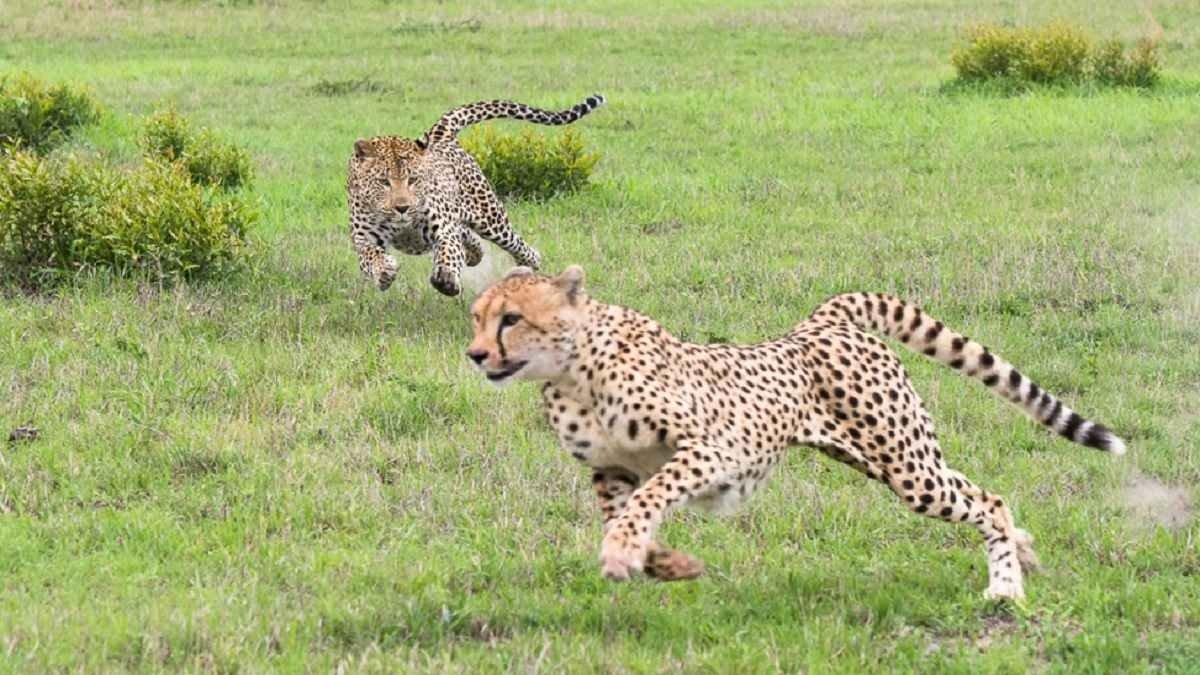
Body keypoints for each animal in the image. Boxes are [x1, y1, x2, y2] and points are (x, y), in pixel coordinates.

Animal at [347, 94, 606, 296]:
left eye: (413, 180)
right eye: (384, 182)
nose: (402, 208)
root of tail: (440, 135)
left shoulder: (443, 229)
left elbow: (448, 251)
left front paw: (446, 278)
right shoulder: (364, 238)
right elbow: (369, 256)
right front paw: (384, 272)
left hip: (491, 218)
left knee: (517, 245)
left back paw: (528, 265)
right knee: (470, 237)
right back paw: (475, 256)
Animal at [464, 265, 1127, 600]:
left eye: (511, 319)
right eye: (476, 318)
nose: (475, 355)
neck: (574, 373)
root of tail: (820, 321)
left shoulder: (713, 448)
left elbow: (648, 502)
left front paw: (626, 552)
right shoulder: (609, 471)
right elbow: (629, 514)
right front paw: (669, 564)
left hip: (905, 466)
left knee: (986, 498)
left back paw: (1006, 587)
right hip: (894, 458)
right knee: (979, 491)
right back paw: (1024, 550)